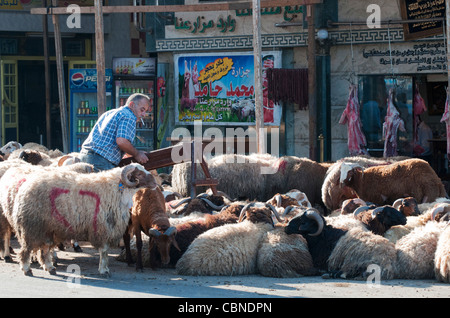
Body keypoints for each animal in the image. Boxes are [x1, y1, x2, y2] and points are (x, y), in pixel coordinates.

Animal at [11, 164, 158, 276]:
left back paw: (50, 268)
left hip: (47, 229)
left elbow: (105, 252)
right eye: (139, 174)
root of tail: (24, 187)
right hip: (31, 227)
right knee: (26, 250)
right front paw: (104, 270)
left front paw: (105, 269)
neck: (118, 189)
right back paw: (27, 269)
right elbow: (104, 251)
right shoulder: (102, 228)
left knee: (45, 249)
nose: (155, 183)